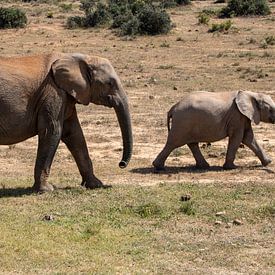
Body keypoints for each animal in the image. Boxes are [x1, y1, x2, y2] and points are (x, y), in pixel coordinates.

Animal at [0, 52, 134, 193]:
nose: (121, 164)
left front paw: (96, 185)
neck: (78, 58)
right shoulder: (53, 92)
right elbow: (53, 131)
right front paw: (46, 190)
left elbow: (75, 134)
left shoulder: (66, 96)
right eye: (109, 83)